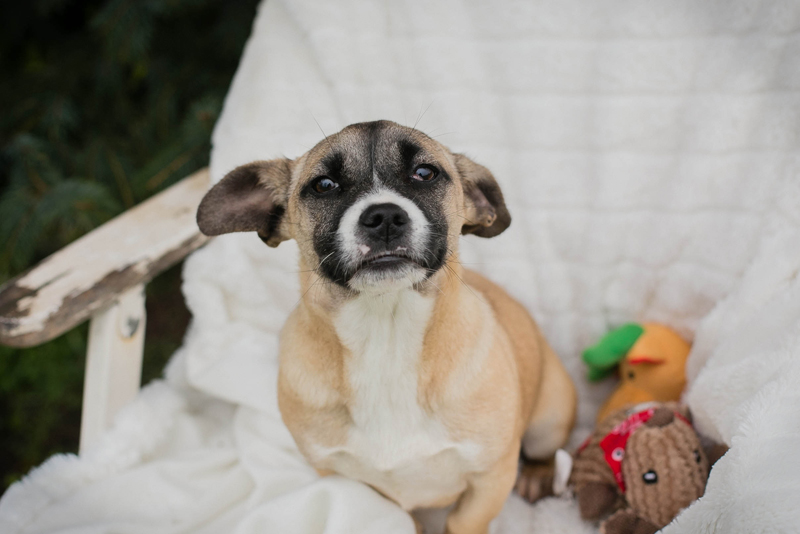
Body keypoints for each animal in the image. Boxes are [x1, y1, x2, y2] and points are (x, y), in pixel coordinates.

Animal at [196, 120, 577, 534]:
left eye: (425, 173)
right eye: (323, 185)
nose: (384, 217)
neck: (386, 335)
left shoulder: (489, 480)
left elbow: (463, 522)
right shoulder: (343, 482)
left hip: (547, 421)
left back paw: (539, 474)